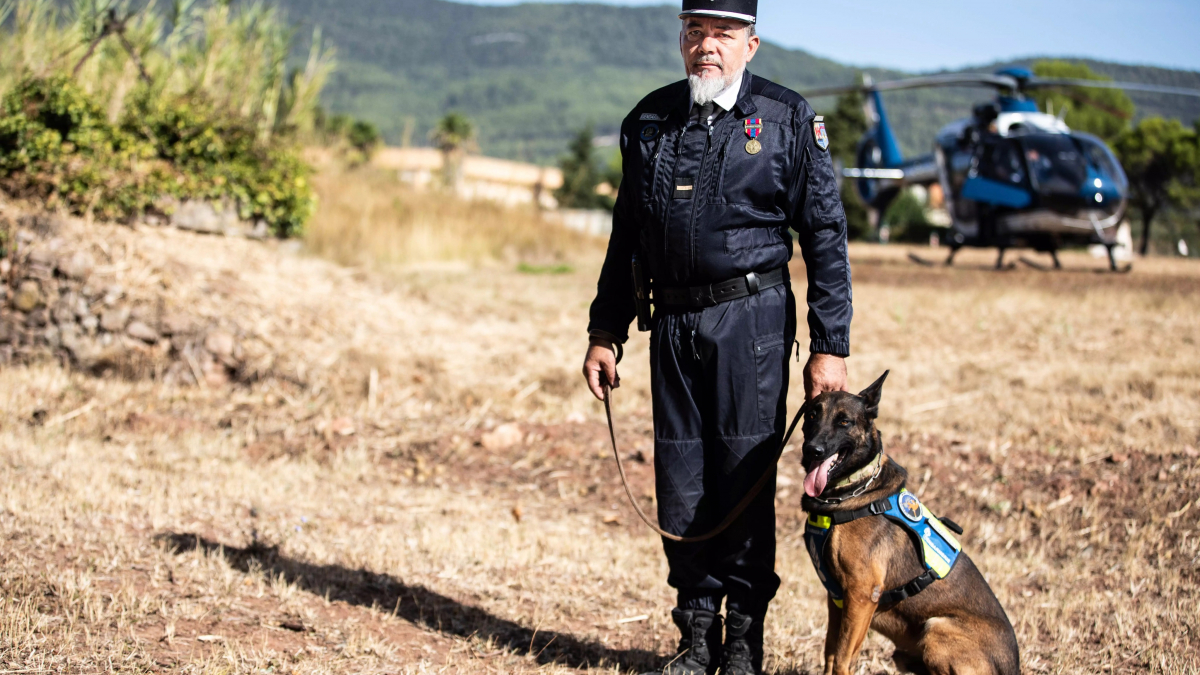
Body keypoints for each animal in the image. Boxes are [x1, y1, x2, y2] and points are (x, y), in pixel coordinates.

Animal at [801, 372, 1017, 672]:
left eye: (844, 421)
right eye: (811, 415)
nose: (813, 450)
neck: (852, 490)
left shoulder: (861, 594)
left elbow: (843, 660)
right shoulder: (837, 598)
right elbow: (830, 654)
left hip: (936, 627)